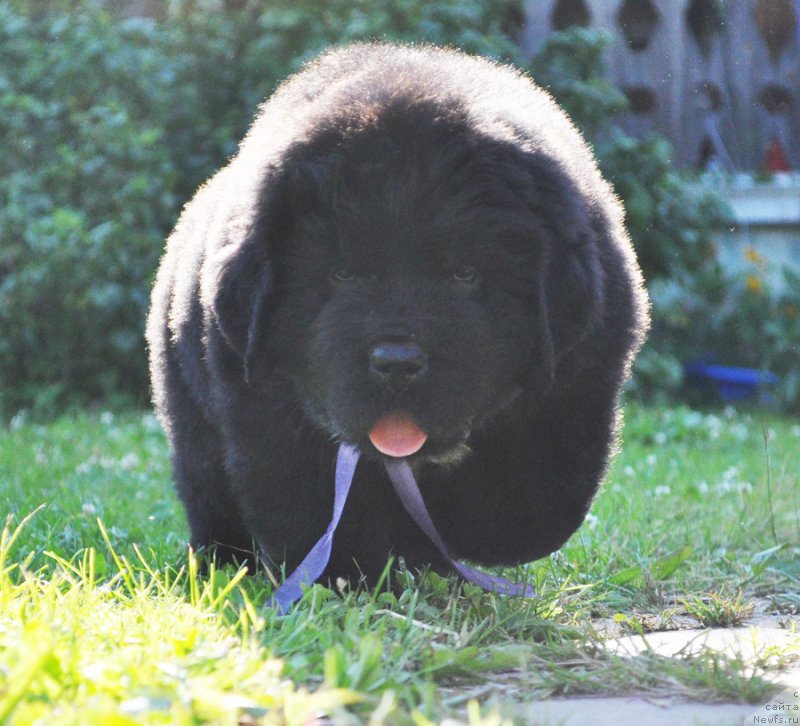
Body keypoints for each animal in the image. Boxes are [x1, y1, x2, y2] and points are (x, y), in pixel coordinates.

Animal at [147, 42, 648, 584]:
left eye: (464, 273)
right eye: (343, 274)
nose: (397, 362)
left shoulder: (576, 383)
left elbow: (532, 507)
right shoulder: (267, 406)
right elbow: (318, 509)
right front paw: (344, 576)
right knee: (209, 490)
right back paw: (222, 561)